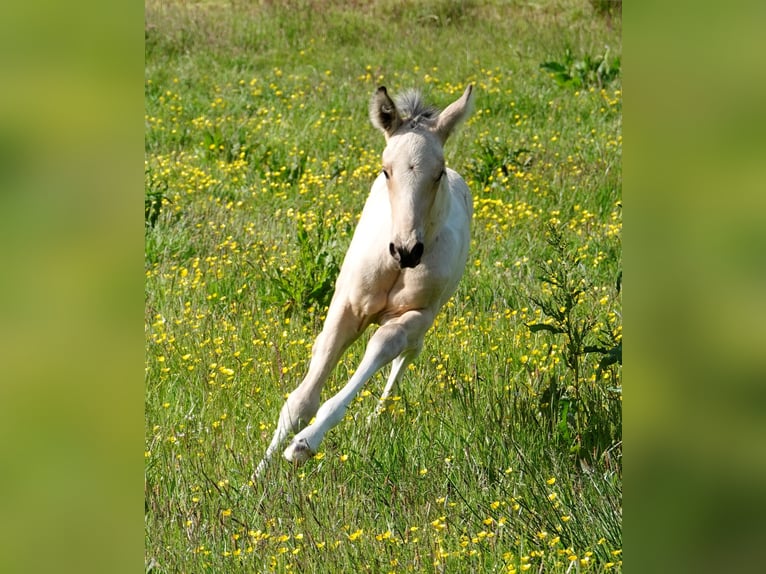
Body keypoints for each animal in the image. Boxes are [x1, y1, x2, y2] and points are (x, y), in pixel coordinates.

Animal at [256, 83, 474, 476]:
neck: (395, 267)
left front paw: (304, 444)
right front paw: (256, 478)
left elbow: (383, 345)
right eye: (386, 171)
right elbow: (300, 399)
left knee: (408, 353)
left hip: (428, 316)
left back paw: (377, 418)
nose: (407, 250)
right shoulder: (347, 307)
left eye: (438, 173)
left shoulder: (417, 314)